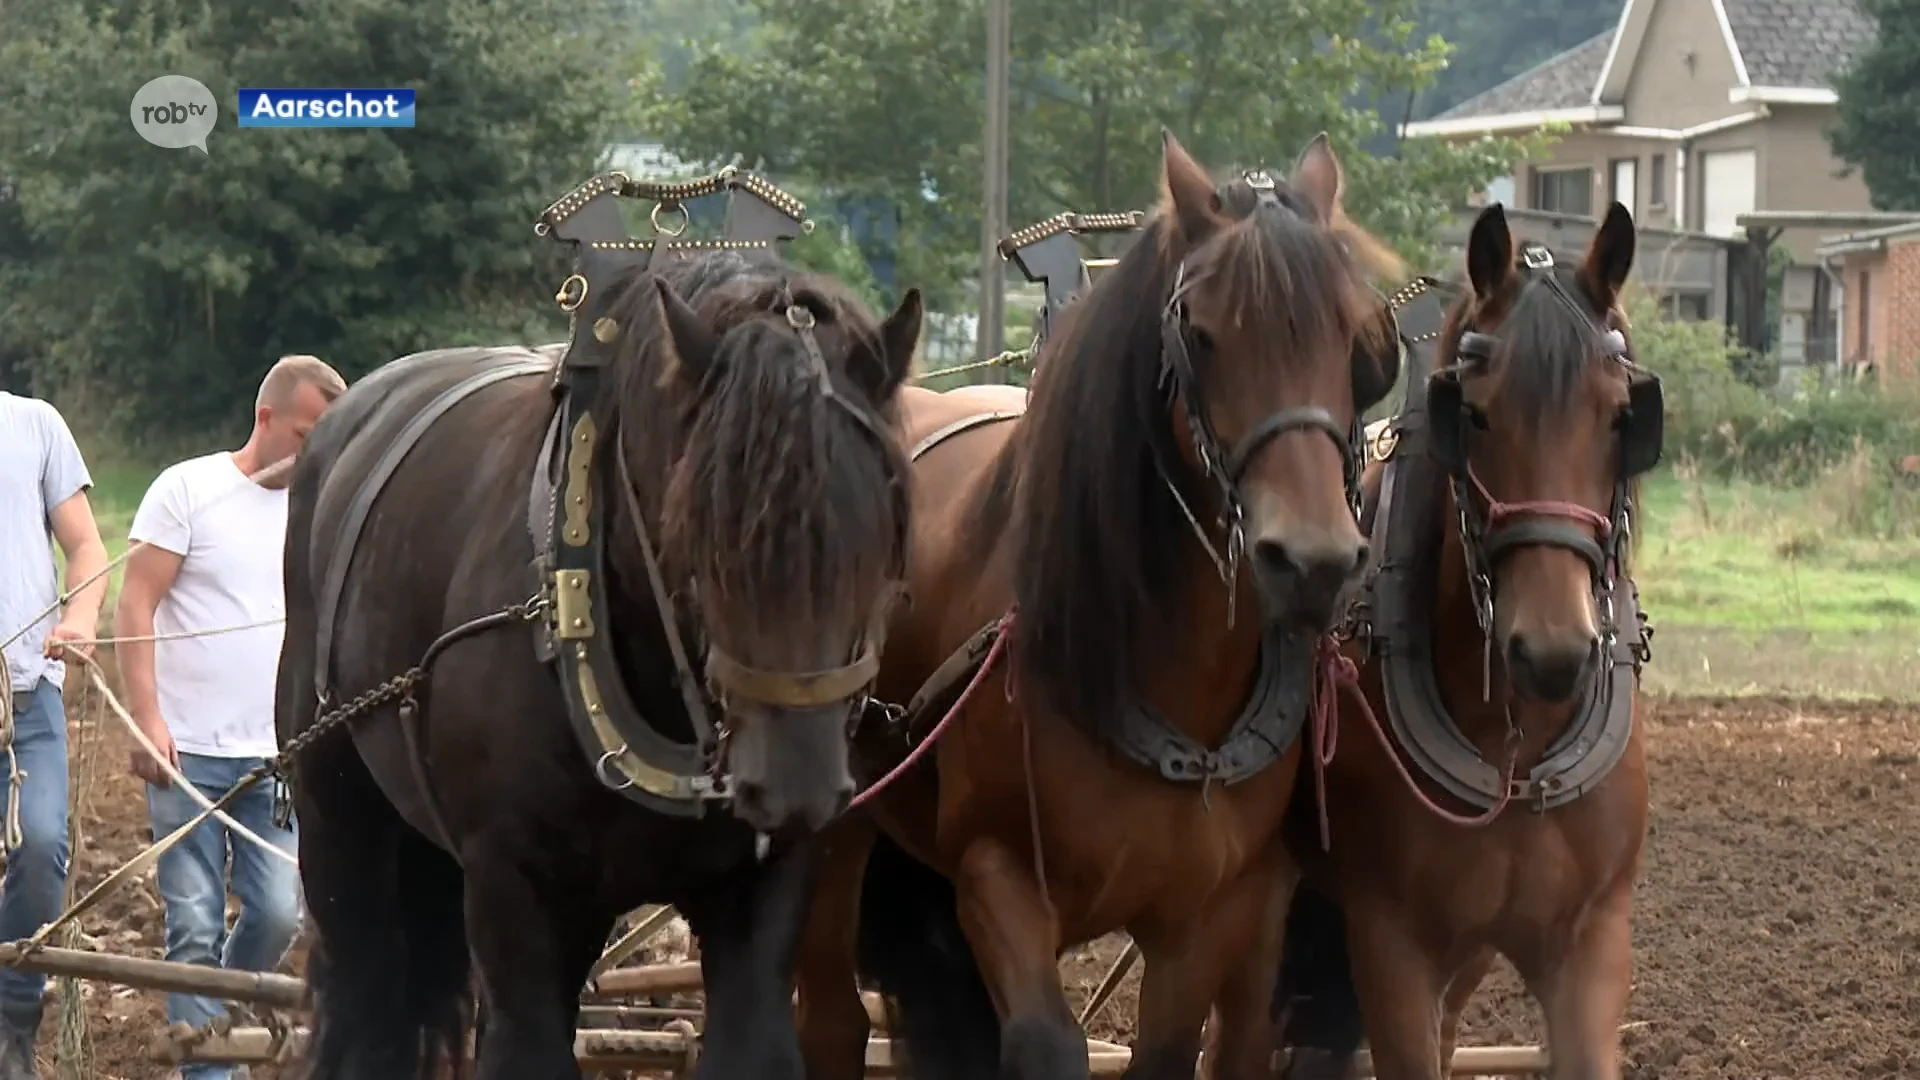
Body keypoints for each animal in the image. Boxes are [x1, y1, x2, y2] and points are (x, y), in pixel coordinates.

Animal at [274, 244, 925, 1076]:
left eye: (884, 529)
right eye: (699, 526)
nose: (796, 786)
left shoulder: (761, 889)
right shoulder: (512, 890)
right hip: (338, 818)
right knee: (367, 991)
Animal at [794, 130, 1413, 1076]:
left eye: (1358, 342)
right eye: (1201, 335)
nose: (1312, 560)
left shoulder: (1210, 909)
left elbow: (1169, 1050)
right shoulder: (997, 875)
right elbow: (1047, 1044)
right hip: (839, 830)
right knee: (831, 1018)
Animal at [1274, 199, 1666, 1068]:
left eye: (1623, 418)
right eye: (1476, 415)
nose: (1552, 651)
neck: (1514, 739)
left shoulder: (1591, 946)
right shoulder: (1389, 946)